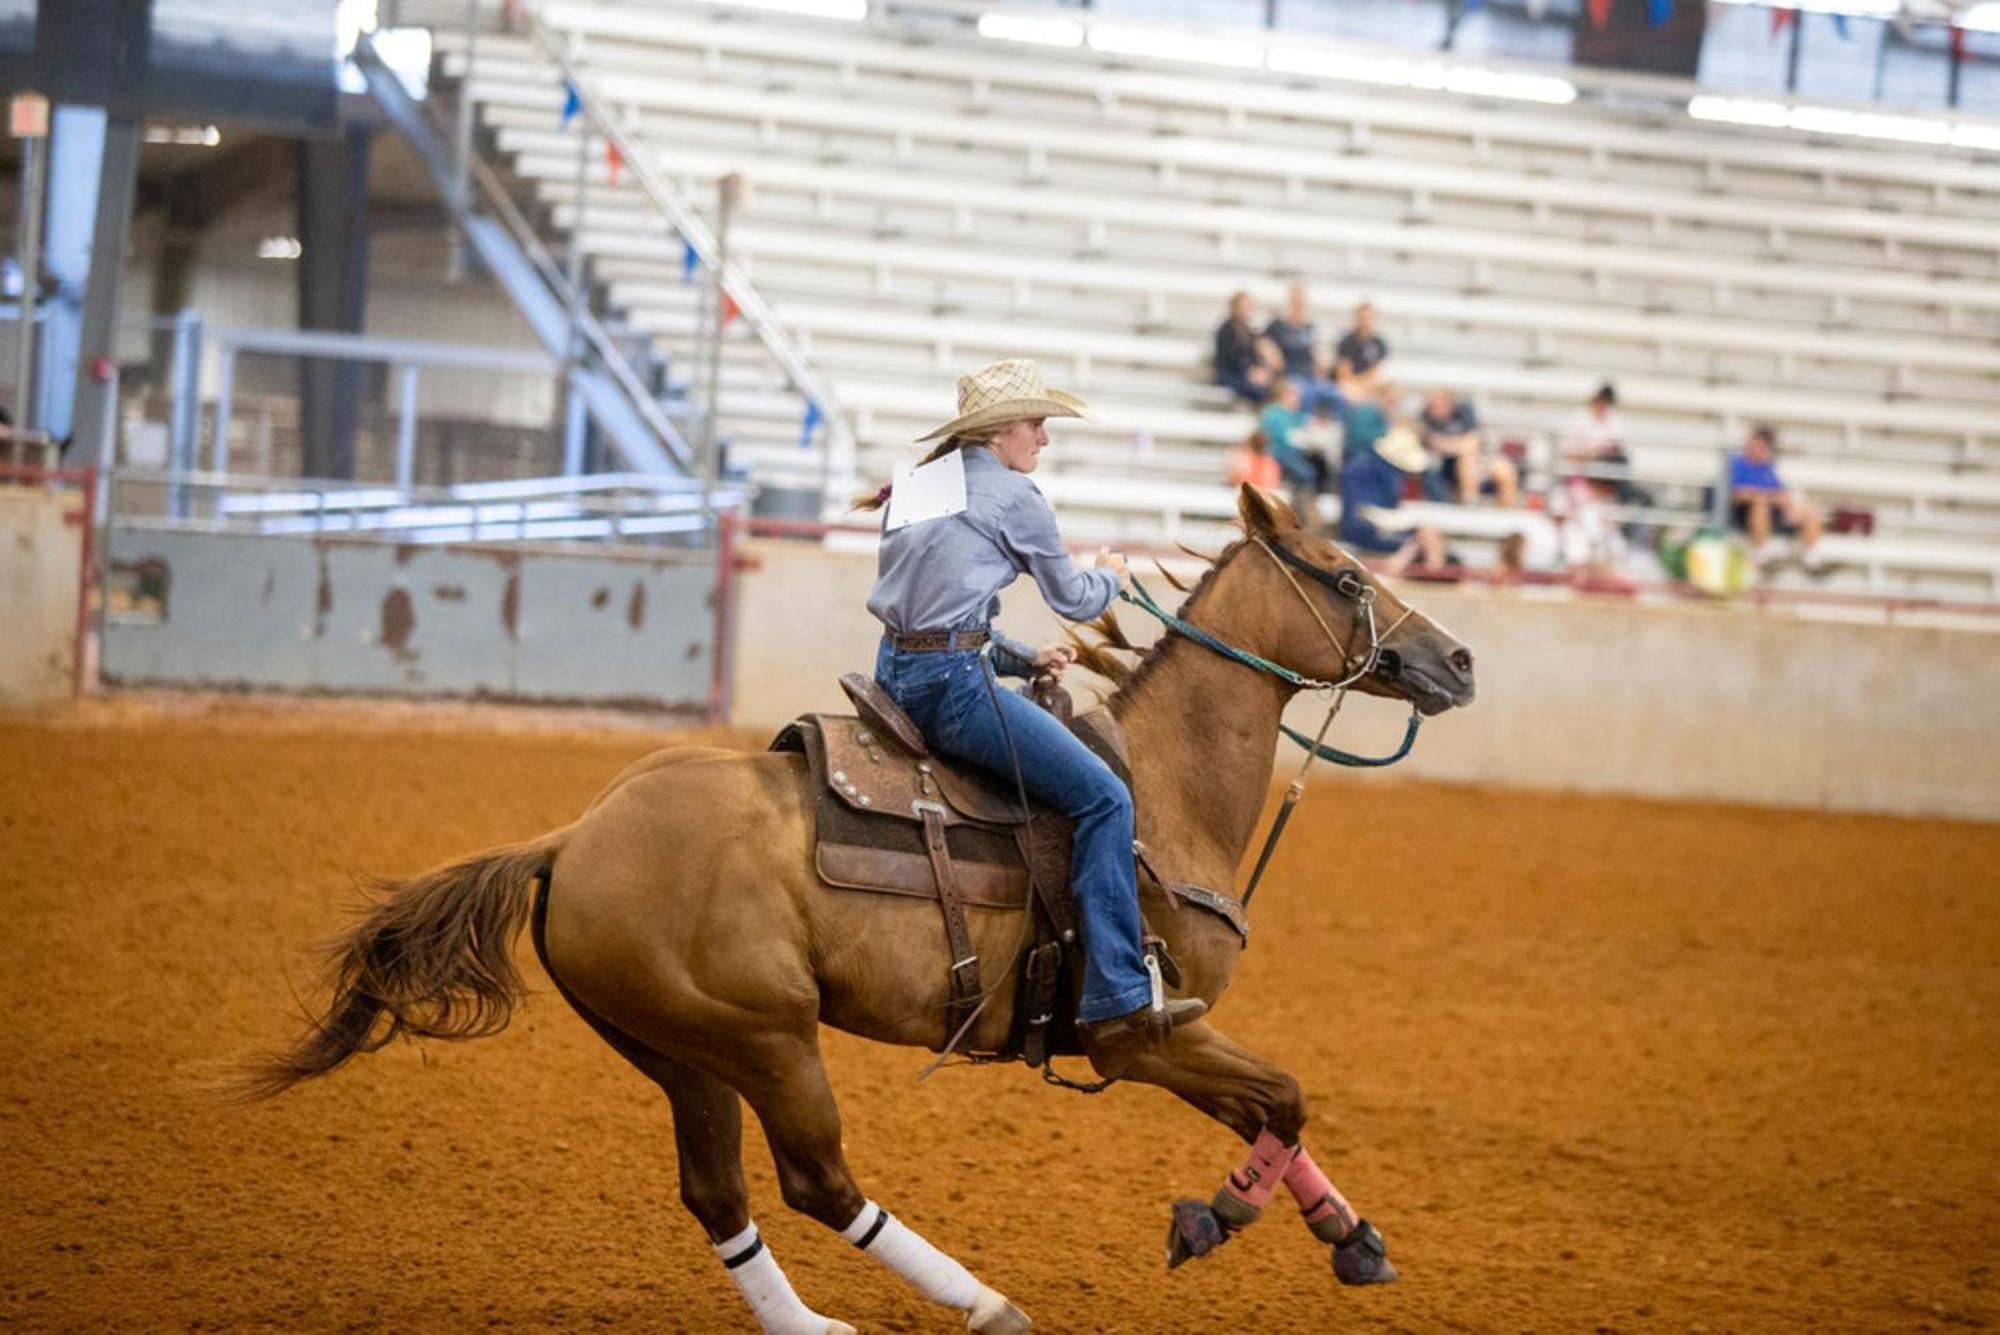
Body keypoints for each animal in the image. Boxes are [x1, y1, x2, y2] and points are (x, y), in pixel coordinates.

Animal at [246, 485, 1472, 1327]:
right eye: (1345, 576)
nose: (1456, 659)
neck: (1161, 794)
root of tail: (572, 839)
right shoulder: (1142, 1034)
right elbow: (1286, 1097)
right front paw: (1216, 1216)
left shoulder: (1176, 1036)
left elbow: (1279, 1107)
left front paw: (1349, 1235)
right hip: (769, 1037)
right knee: (818, 1182)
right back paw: (985, 1304)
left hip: (680, 1051)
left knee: (718, 1193)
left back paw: (818, 1322)